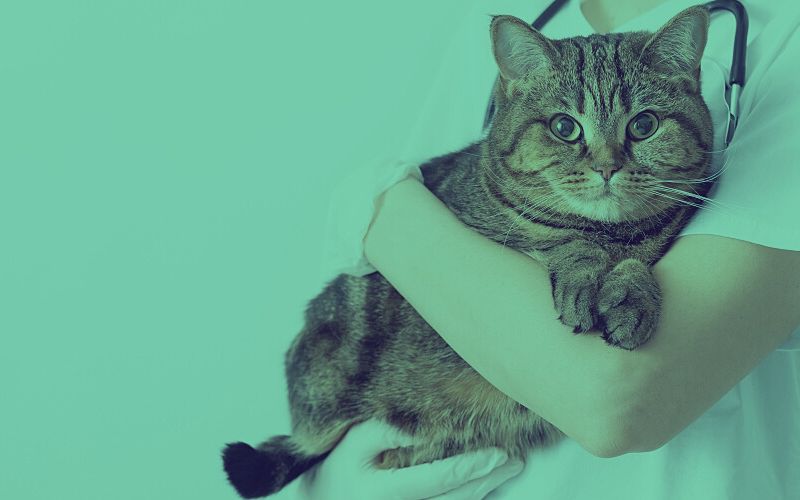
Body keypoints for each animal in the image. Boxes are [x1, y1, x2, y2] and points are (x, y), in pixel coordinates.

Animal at [223, 5, 712, 498]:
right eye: (564, 128)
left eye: (644, 125)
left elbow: (633, 264)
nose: (607, 167)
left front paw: (630, 295)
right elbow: (565, 244)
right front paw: (585, 272)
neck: (613, 232)